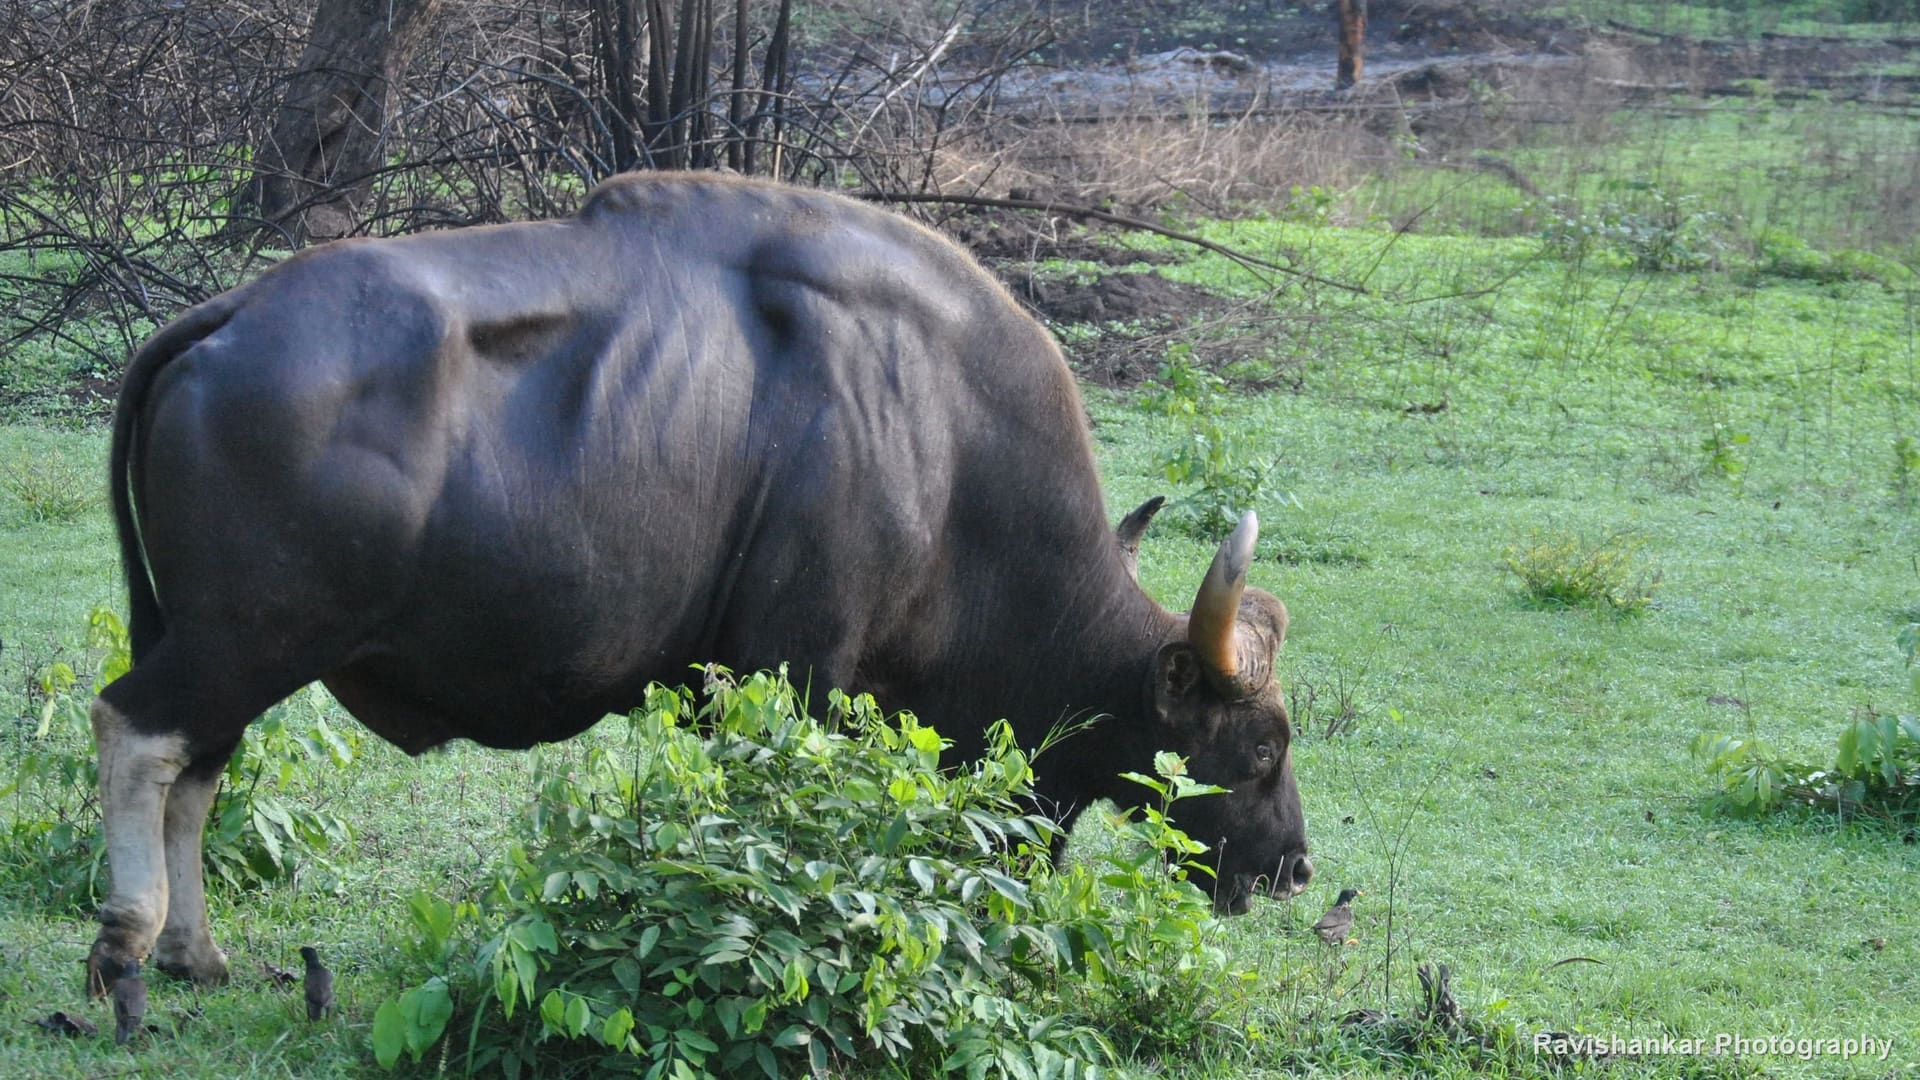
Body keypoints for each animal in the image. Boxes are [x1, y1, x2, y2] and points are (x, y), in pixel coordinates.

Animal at [85, 173, 1310, 994]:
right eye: (1259, 751)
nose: (1294, 870)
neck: (949, 442)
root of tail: (226, 318)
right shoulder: (793, 675)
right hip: (251, 636)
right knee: (137, 730)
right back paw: (128, 945)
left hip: (226, 641)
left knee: (198, 764)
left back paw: (197, 953)